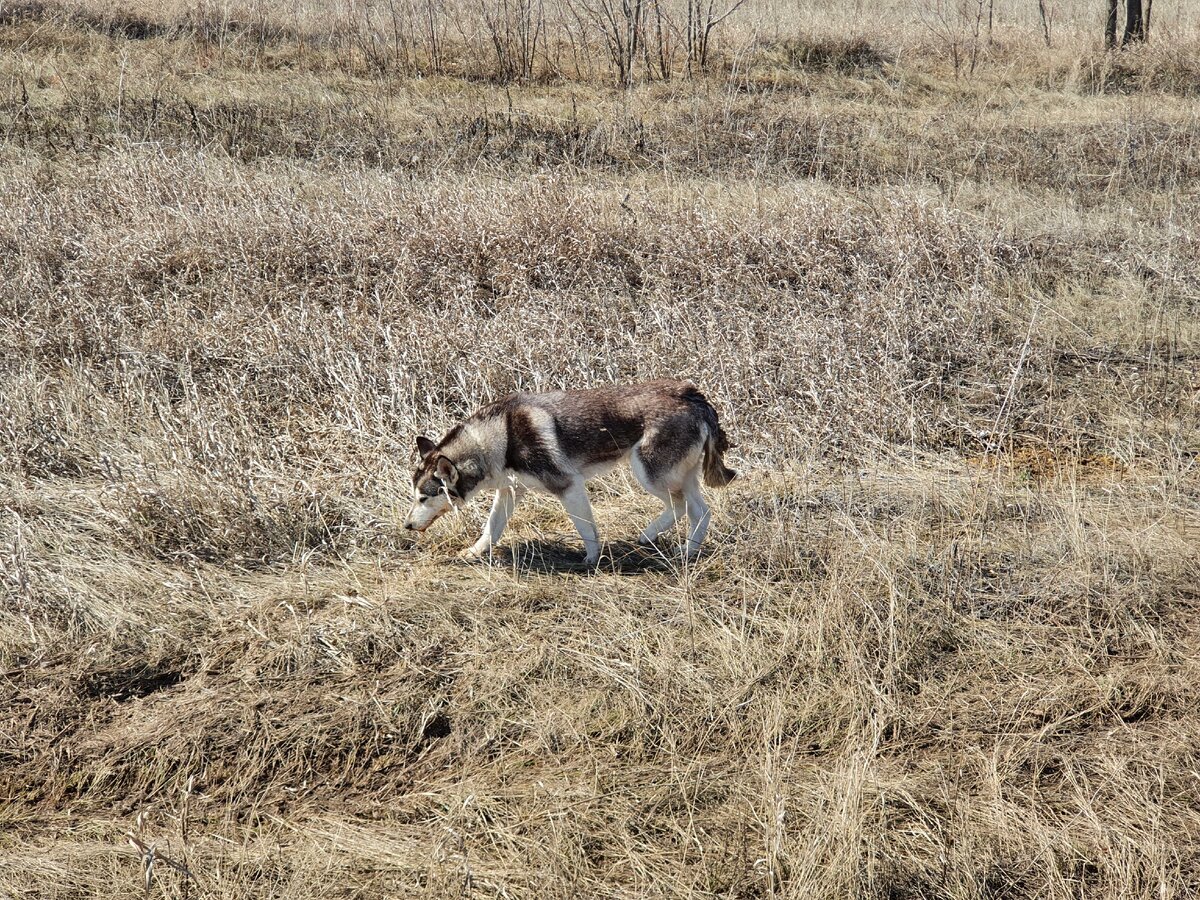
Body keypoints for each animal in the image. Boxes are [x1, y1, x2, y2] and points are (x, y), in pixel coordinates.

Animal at [408, 381, 734, 564]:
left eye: (423, 498)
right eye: (414, 496)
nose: (407, 526)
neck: (499, 439)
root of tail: (691, 394)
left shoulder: (569, 486)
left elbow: (586, 528)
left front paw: (592, 559)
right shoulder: (509, 492)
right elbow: (491, 529)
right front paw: (474, 553)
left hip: (649, 474)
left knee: (680, 506)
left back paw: (652, 536)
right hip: (679, 477)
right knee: (700, 512)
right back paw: (687, 551)